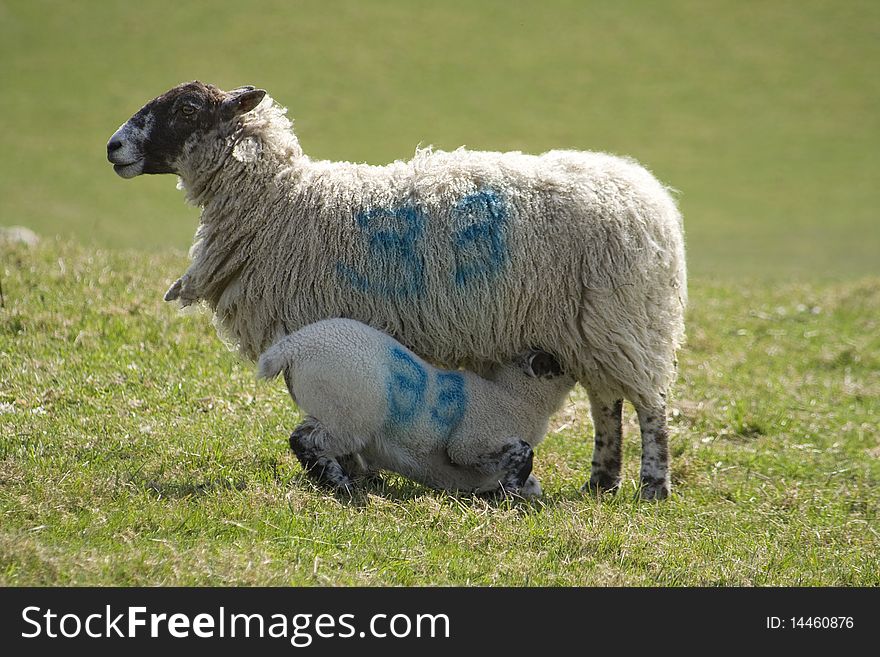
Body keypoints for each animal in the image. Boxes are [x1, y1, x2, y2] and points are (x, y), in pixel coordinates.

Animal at [256, 316, 572, 494]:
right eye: (556, 364)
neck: (515, 397)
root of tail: (292, 346)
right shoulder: (469, 443)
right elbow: (524, 452)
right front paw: (511, 490)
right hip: (349, 415)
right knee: (304, 440)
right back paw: (340, 485)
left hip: (332, 412)